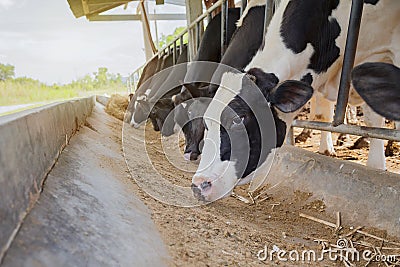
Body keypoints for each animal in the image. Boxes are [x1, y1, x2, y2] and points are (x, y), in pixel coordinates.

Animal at [192, 0, 398, 202]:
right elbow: (324, 114)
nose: (199, 185)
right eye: (206, 122)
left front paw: (376, 165)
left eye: (238, 119)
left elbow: (375, 116)